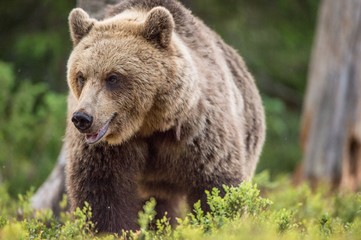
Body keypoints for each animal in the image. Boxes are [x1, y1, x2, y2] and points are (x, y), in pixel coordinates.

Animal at [64, 0, 264, 233]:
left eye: (113, 77)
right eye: (81, 76)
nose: (83, 118)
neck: (149, 123)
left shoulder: (198, 131)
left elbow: (217, 186)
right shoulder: (106, 150)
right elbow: (101, 193)